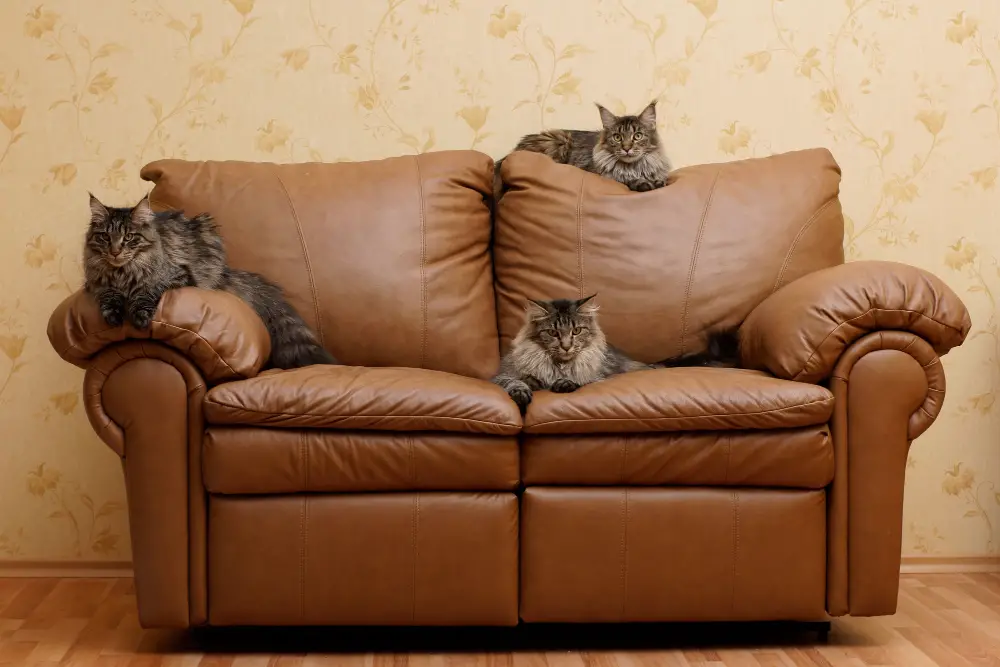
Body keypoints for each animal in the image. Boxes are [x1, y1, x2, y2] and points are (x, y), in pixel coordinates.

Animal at [86, 193, 336, 370]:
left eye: (129, 238)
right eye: (105, 237)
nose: (115, 252)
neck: (122, 274)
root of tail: (225, 271)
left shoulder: (177, 275)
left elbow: (147, 291)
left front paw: (139, 316)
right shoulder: (95, 284)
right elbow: (107, 295)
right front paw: (114, 315)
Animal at [494, 98, 672, 200]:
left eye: (637, 136)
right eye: (617, 137)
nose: (627, 148)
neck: (634, 167)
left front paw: (656, 181)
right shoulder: (605, 175)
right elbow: (626, 179)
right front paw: (643, 183)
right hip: (559, 140)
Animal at [494, 298, 740, 412]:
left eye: (576, 331)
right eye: (553, 333)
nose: (566, 346)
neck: (559, 365)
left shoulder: (597, 376)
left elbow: (575, 379)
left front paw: (563, 383)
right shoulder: (502, 376)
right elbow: (516, 382)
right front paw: (524, 391)